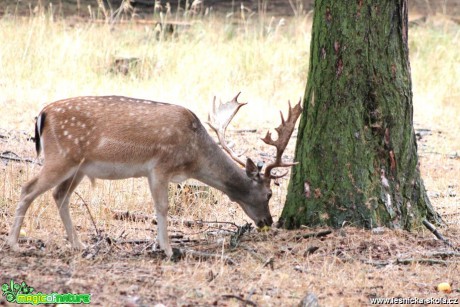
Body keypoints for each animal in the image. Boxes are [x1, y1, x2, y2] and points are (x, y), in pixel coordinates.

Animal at [8, 93, 302, 258]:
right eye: (269, 193)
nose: (268, 221)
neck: (193, 157)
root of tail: (42, 114)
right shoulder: (161, 165)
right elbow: (162, 206)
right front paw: (168, 249)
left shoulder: (154, 172)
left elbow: (157, 207)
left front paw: (161, 246)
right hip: (61, 156)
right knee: (28, 188)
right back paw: (14, 244)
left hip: (78, 167)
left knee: (59, 196)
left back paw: (78, 244)